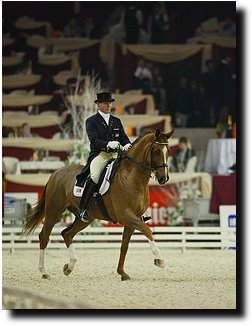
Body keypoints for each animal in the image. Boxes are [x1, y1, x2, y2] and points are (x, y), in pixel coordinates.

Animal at [22, 129, 173, 280]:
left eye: (168, 151)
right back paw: (44, 272)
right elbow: (147, 230)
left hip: (85, 218)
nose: (163, 179)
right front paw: (160, 260)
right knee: (44, 236)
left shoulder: (132, 219)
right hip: (54, 210)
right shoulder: (125, 215)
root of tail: (56, 173)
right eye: (157, 151)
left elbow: (124, 245)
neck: (131, 176)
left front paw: (122, 273)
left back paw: (69, 267)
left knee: (67, 234)